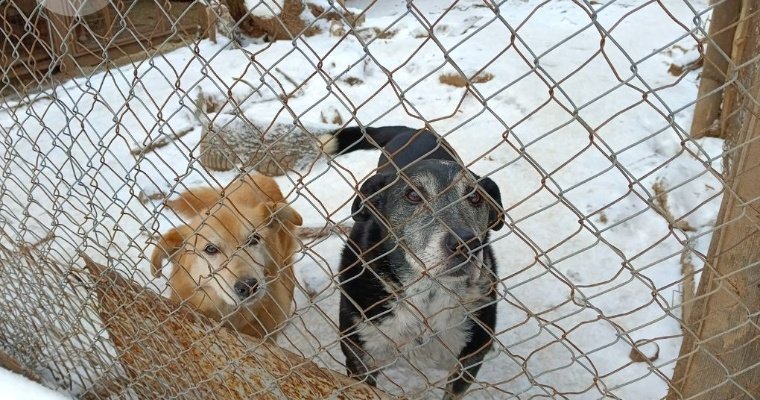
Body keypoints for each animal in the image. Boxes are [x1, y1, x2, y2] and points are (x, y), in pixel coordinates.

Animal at [322, 126, 504, 398]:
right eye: (412, 195)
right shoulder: (360, 359)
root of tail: (415, 130)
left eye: (475, 198)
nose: (467, 244)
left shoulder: (467, 363)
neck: (426, 297)